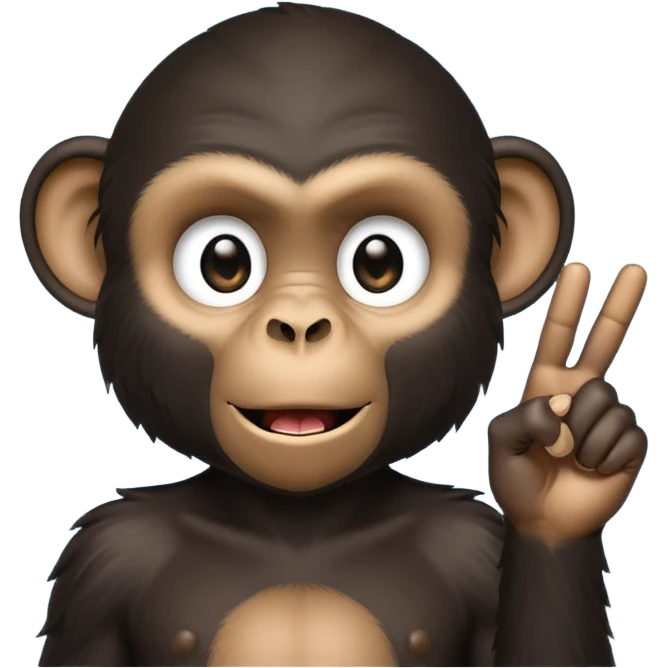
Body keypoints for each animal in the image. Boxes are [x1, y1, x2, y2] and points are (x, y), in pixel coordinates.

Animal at [20, 3, 649, 667]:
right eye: (223, 262)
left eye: (379, 262)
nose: (299, 326)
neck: (300, 527)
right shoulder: (106, 560)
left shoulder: (471, 548)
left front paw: (561, 476)